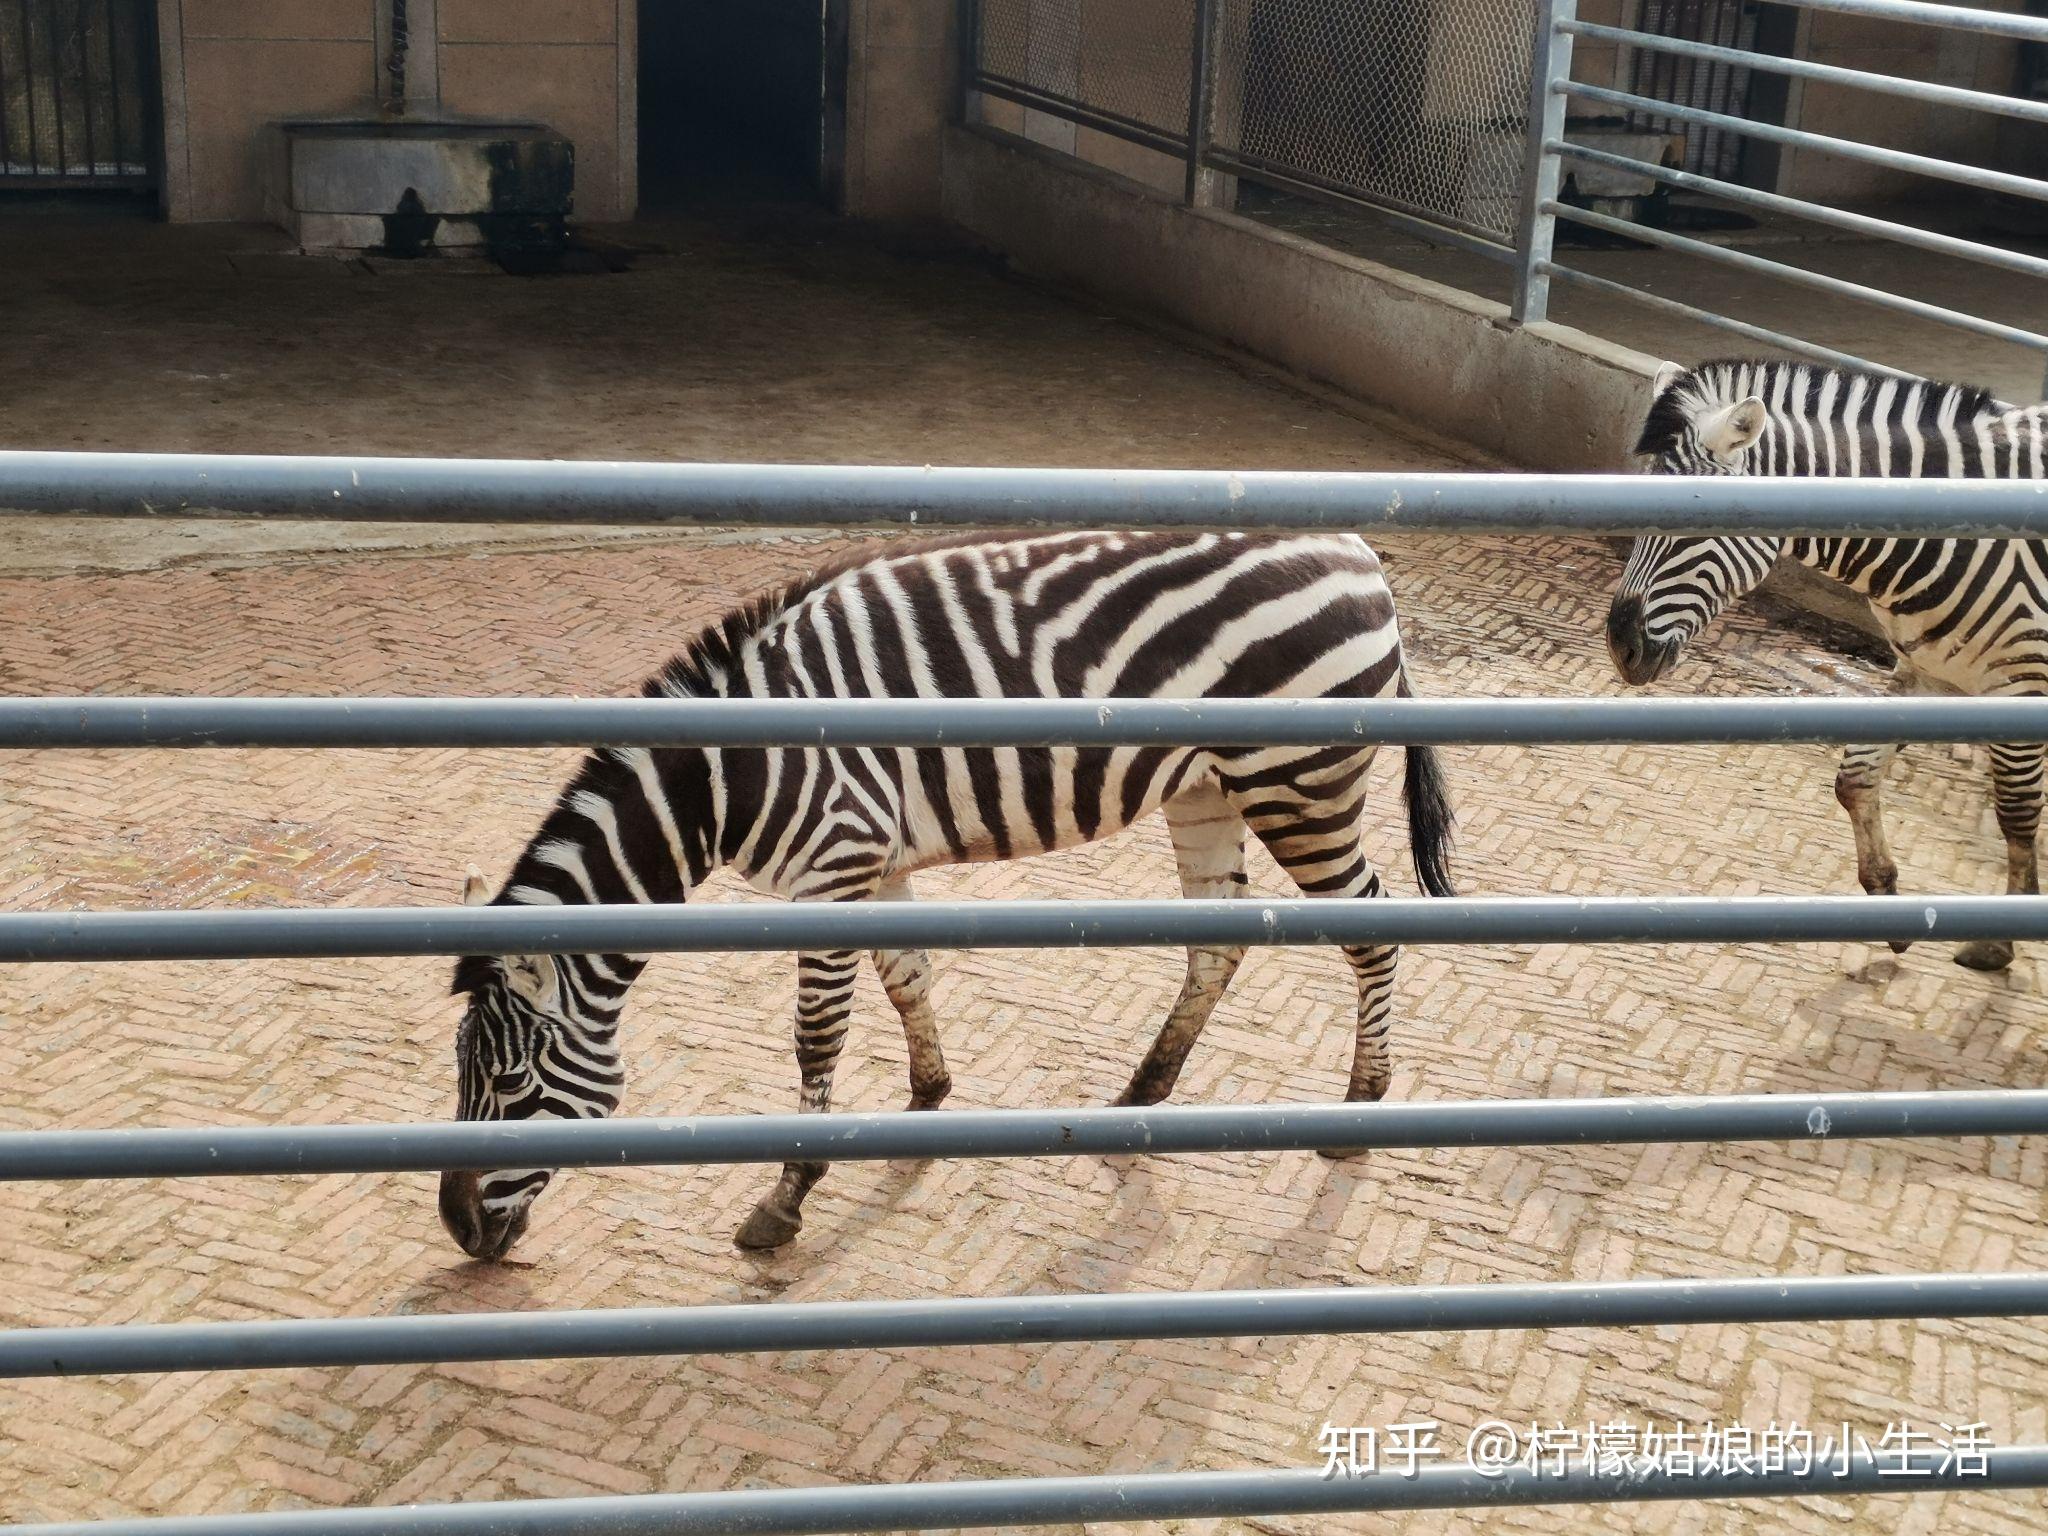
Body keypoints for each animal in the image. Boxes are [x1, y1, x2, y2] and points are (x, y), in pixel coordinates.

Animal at [436, 528, 1458, 1261]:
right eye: (461, 1077)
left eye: (513, 1090)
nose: (459, 1231)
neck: (725, 776)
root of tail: (1361, 554)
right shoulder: (871, 862)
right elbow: (908, 979)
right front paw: (927, 1097)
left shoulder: (834, 864)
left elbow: (817, 1037)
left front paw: (786, 1197)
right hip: (1211, 788)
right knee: (1220, 938)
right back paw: (1142, 1093)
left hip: (1300, 784)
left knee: (1372, 928)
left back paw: (1361, 1104)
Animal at [1605, 354, 2039, 966]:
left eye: (1688, 524)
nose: (1620, 646)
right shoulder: (1924, 668)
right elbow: (1855, 779)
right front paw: (1887, 898)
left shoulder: (2021, 682)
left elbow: (2017, 810)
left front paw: (2000, 941)